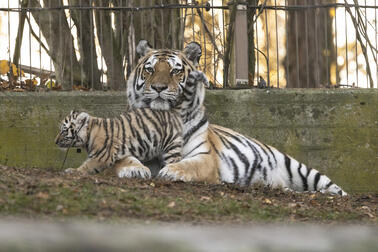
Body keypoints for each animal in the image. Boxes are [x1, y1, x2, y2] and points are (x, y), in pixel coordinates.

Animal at [125, 40, 346, 196]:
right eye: (150, 69)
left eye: (175, 71)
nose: (158, 88)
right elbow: (126, 158)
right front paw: (134, 170)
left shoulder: (204, 157)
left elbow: (189, 165)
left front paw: (170, 171)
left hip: (297, 167)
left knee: (333, 186)